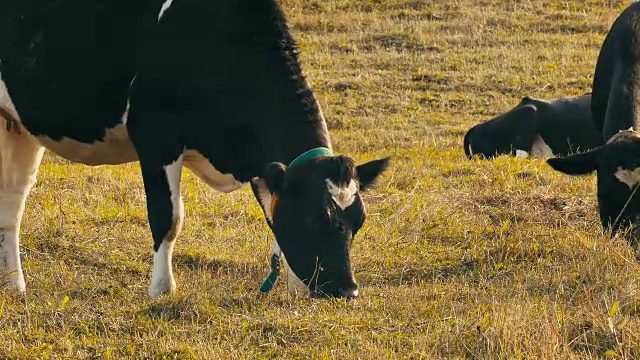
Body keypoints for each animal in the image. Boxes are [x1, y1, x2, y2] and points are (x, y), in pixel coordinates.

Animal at [0, 0, 390, 298]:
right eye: (317, 217)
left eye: (359, 221)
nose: (347, 290)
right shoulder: (156, 138)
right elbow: (168, 217)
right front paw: (161, 289)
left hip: (18, 127)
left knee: (13, 201)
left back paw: (14, 284)